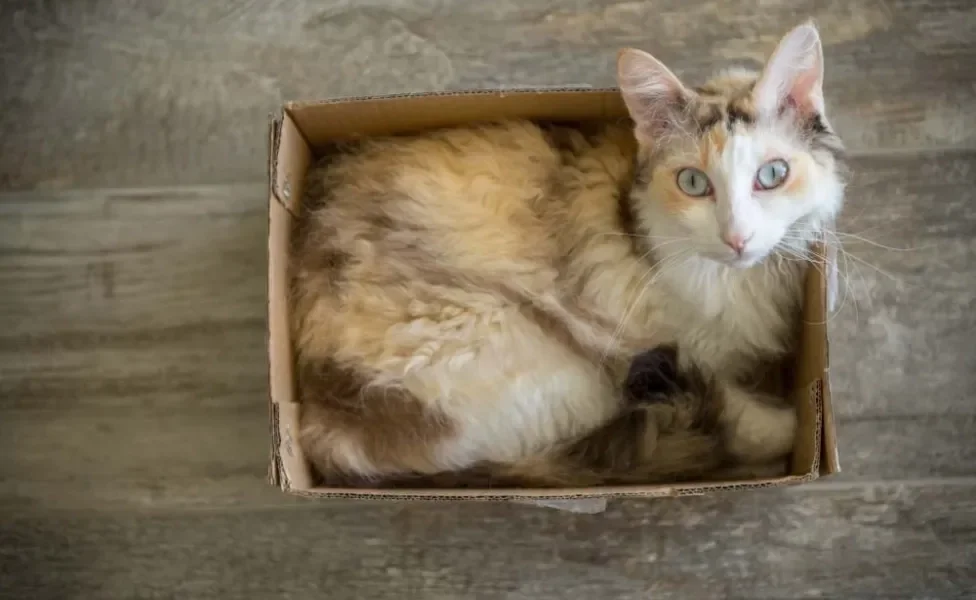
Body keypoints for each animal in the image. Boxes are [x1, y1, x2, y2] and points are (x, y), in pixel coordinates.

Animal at [292, 22, 848, 488]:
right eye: (693, 183)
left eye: (772, 175)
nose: (737, 238)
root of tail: (316, 422)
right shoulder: (679, 348)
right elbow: (743, 409)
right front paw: (789, 424)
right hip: (546, 366)